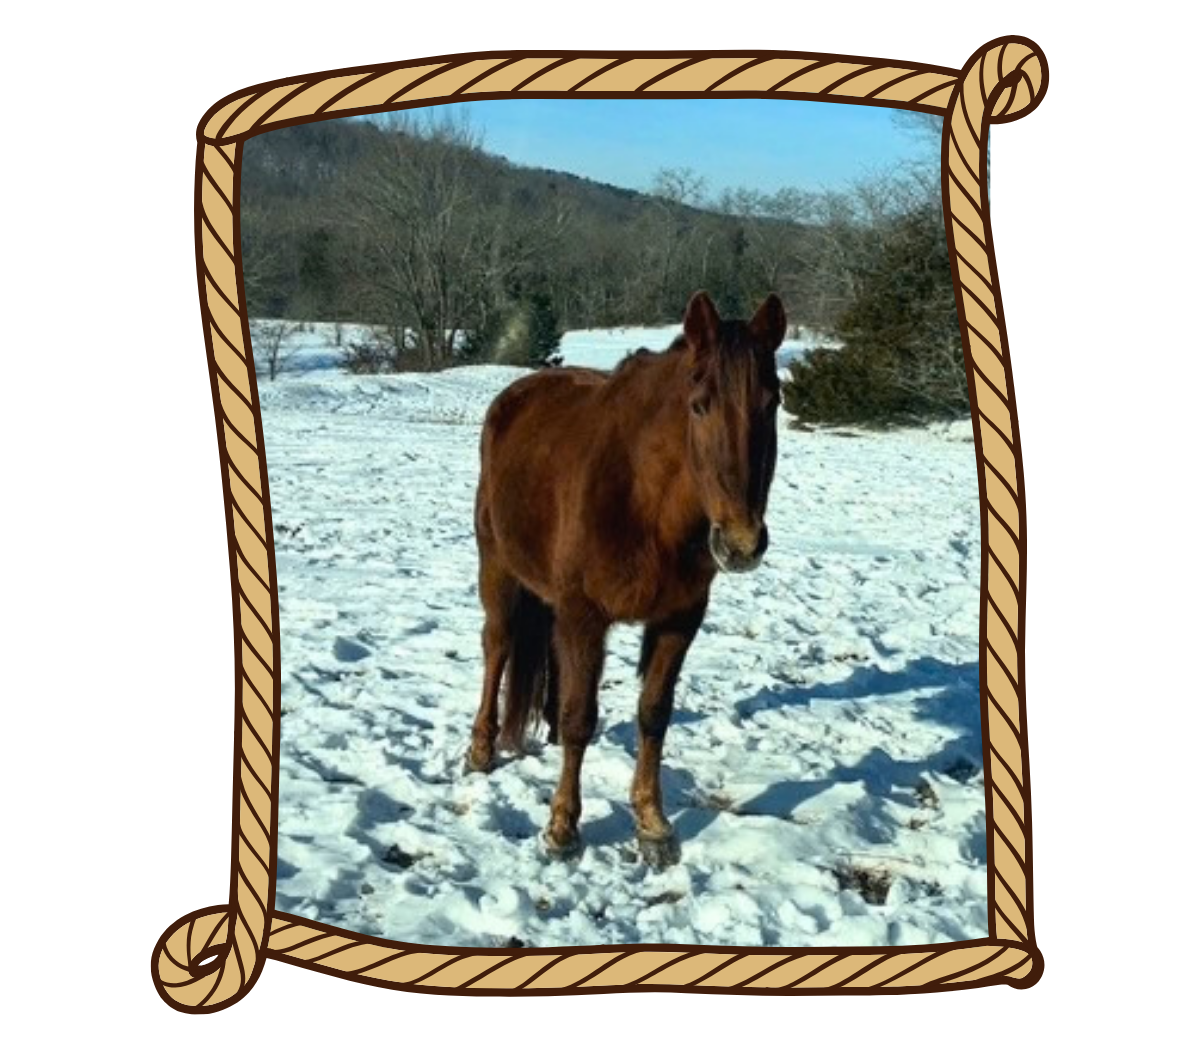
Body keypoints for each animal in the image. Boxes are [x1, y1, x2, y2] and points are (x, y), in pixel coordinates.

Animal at [465, 290, 786, 868]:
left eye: (772, 404)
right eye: (699, 404)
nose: (741, 542)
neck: (645, 503)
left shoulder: (678, 621)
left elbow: (653, 714)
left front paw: (653, 825)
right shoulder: (585, 616)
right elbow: (580, 717)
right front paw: (562, 828)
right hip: (497, 569)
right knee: (497, 646)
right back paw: (480, 749)